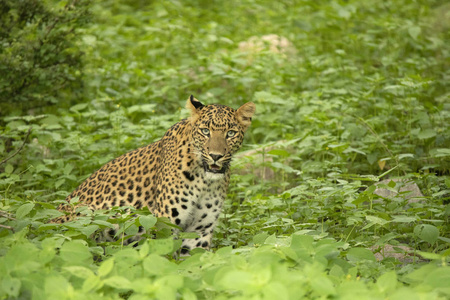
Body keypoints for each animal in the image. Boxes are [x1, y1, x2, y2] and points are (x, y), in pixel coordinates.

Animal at [54, 95, 255, 254]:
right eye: (205, 131)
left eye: (231, 133)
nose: (216, 156)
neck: (204, 181)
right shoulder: (165, 224)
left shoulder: (199, 231)